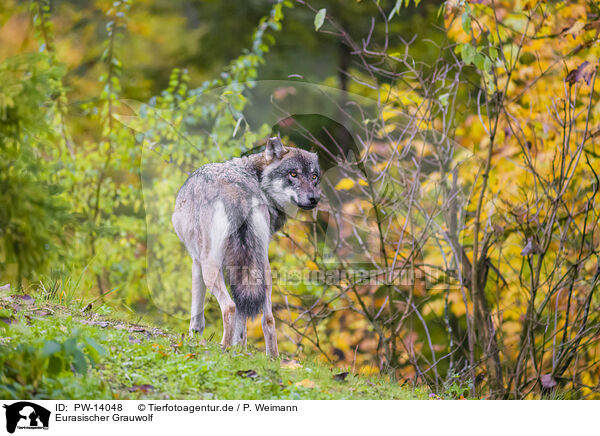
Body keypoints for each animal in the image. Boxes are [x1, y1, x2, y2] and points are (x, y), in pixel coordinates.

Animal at [171, 137, 322, 358]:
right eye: (293, 174)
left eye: (313, 176)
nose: (314, 198)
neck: (255, 175)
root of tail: (238, 193)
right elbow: (244, 326)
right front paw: (240, 350)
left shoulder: (196, 262)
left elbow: (196, 315)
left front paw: (194, 339)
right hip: (264, 270)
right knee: (268, 319)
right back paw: (271, 358)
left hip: (210, 266)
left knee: (230, 307)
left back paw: (223, 349)